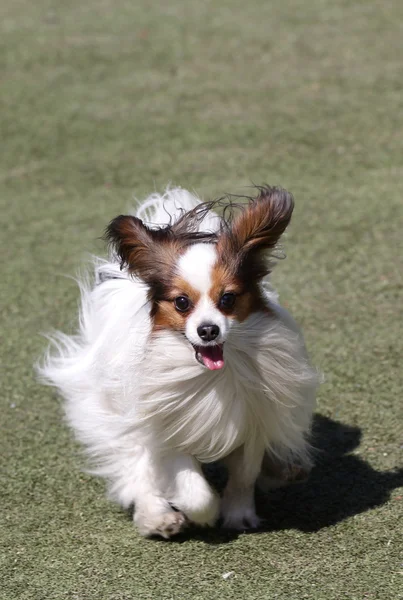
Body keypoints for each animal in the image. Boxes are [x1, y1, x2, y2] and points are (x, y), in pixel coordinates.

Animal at [40, 185, 318, 536]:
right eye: (182, 302)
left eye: (227, 299)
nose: (208, 330)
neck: (211, 376)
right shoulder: (169, 431)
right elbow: (194, 490)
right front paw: (203, 515)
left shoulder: (253, 421)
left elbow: (244, 474)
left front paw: (239, 514)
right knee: (136, 469)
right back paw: (159, 518)